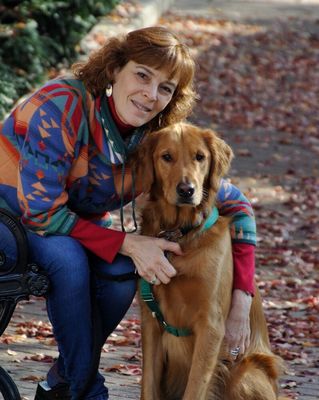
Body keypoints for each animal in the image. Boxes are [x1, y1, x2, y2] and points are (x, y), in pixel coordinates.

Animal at [134, 122, 284, 400]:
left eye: (200, 157)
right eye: (166, 156)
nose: (187, 190)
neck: (181, 234)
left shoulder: (211, 326)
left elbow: (195, 388)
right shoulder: (150, 320)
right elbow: (148, 386)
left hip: (246, 374)